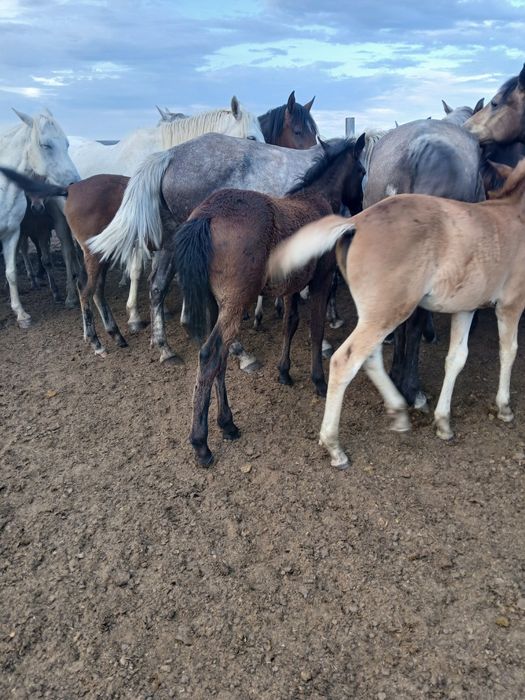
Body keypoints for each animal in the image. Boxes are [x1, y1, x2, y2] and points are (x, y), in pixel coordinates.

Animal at [0, 108, 80, 327]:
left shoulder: (12, 233)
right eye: (45, 145)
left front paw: (21, 314)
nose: (75, 183)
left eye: (67, 144)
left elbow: (11, 273)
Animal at [172, 135, 364, 466]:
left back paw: (228, 424)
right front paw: (318, 380)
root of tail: (207, 214)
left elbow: (290, 323)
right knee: (211, 354)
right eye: (362, 171)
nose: (361, 206)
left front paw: (284, 372)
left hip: (215, 304)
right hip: (235, 303)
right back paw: (202, 443)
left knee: (219, 358)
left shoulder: (292, 287)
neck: (316, 199)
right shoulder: (321, 280)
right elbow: (315, 329)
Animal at [267, 159, 525, 469]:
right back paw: (334, 446)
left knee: (370, 358)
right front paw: (504, 407)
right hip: (389, 312)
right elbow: (509, 351)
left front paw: (443, 422)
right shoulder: (512, 303)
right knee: (345, 361)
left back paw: (399, 411)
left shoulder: (466, 307)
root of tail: (354, 223)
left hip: (379, 313)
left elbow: (456, 358)